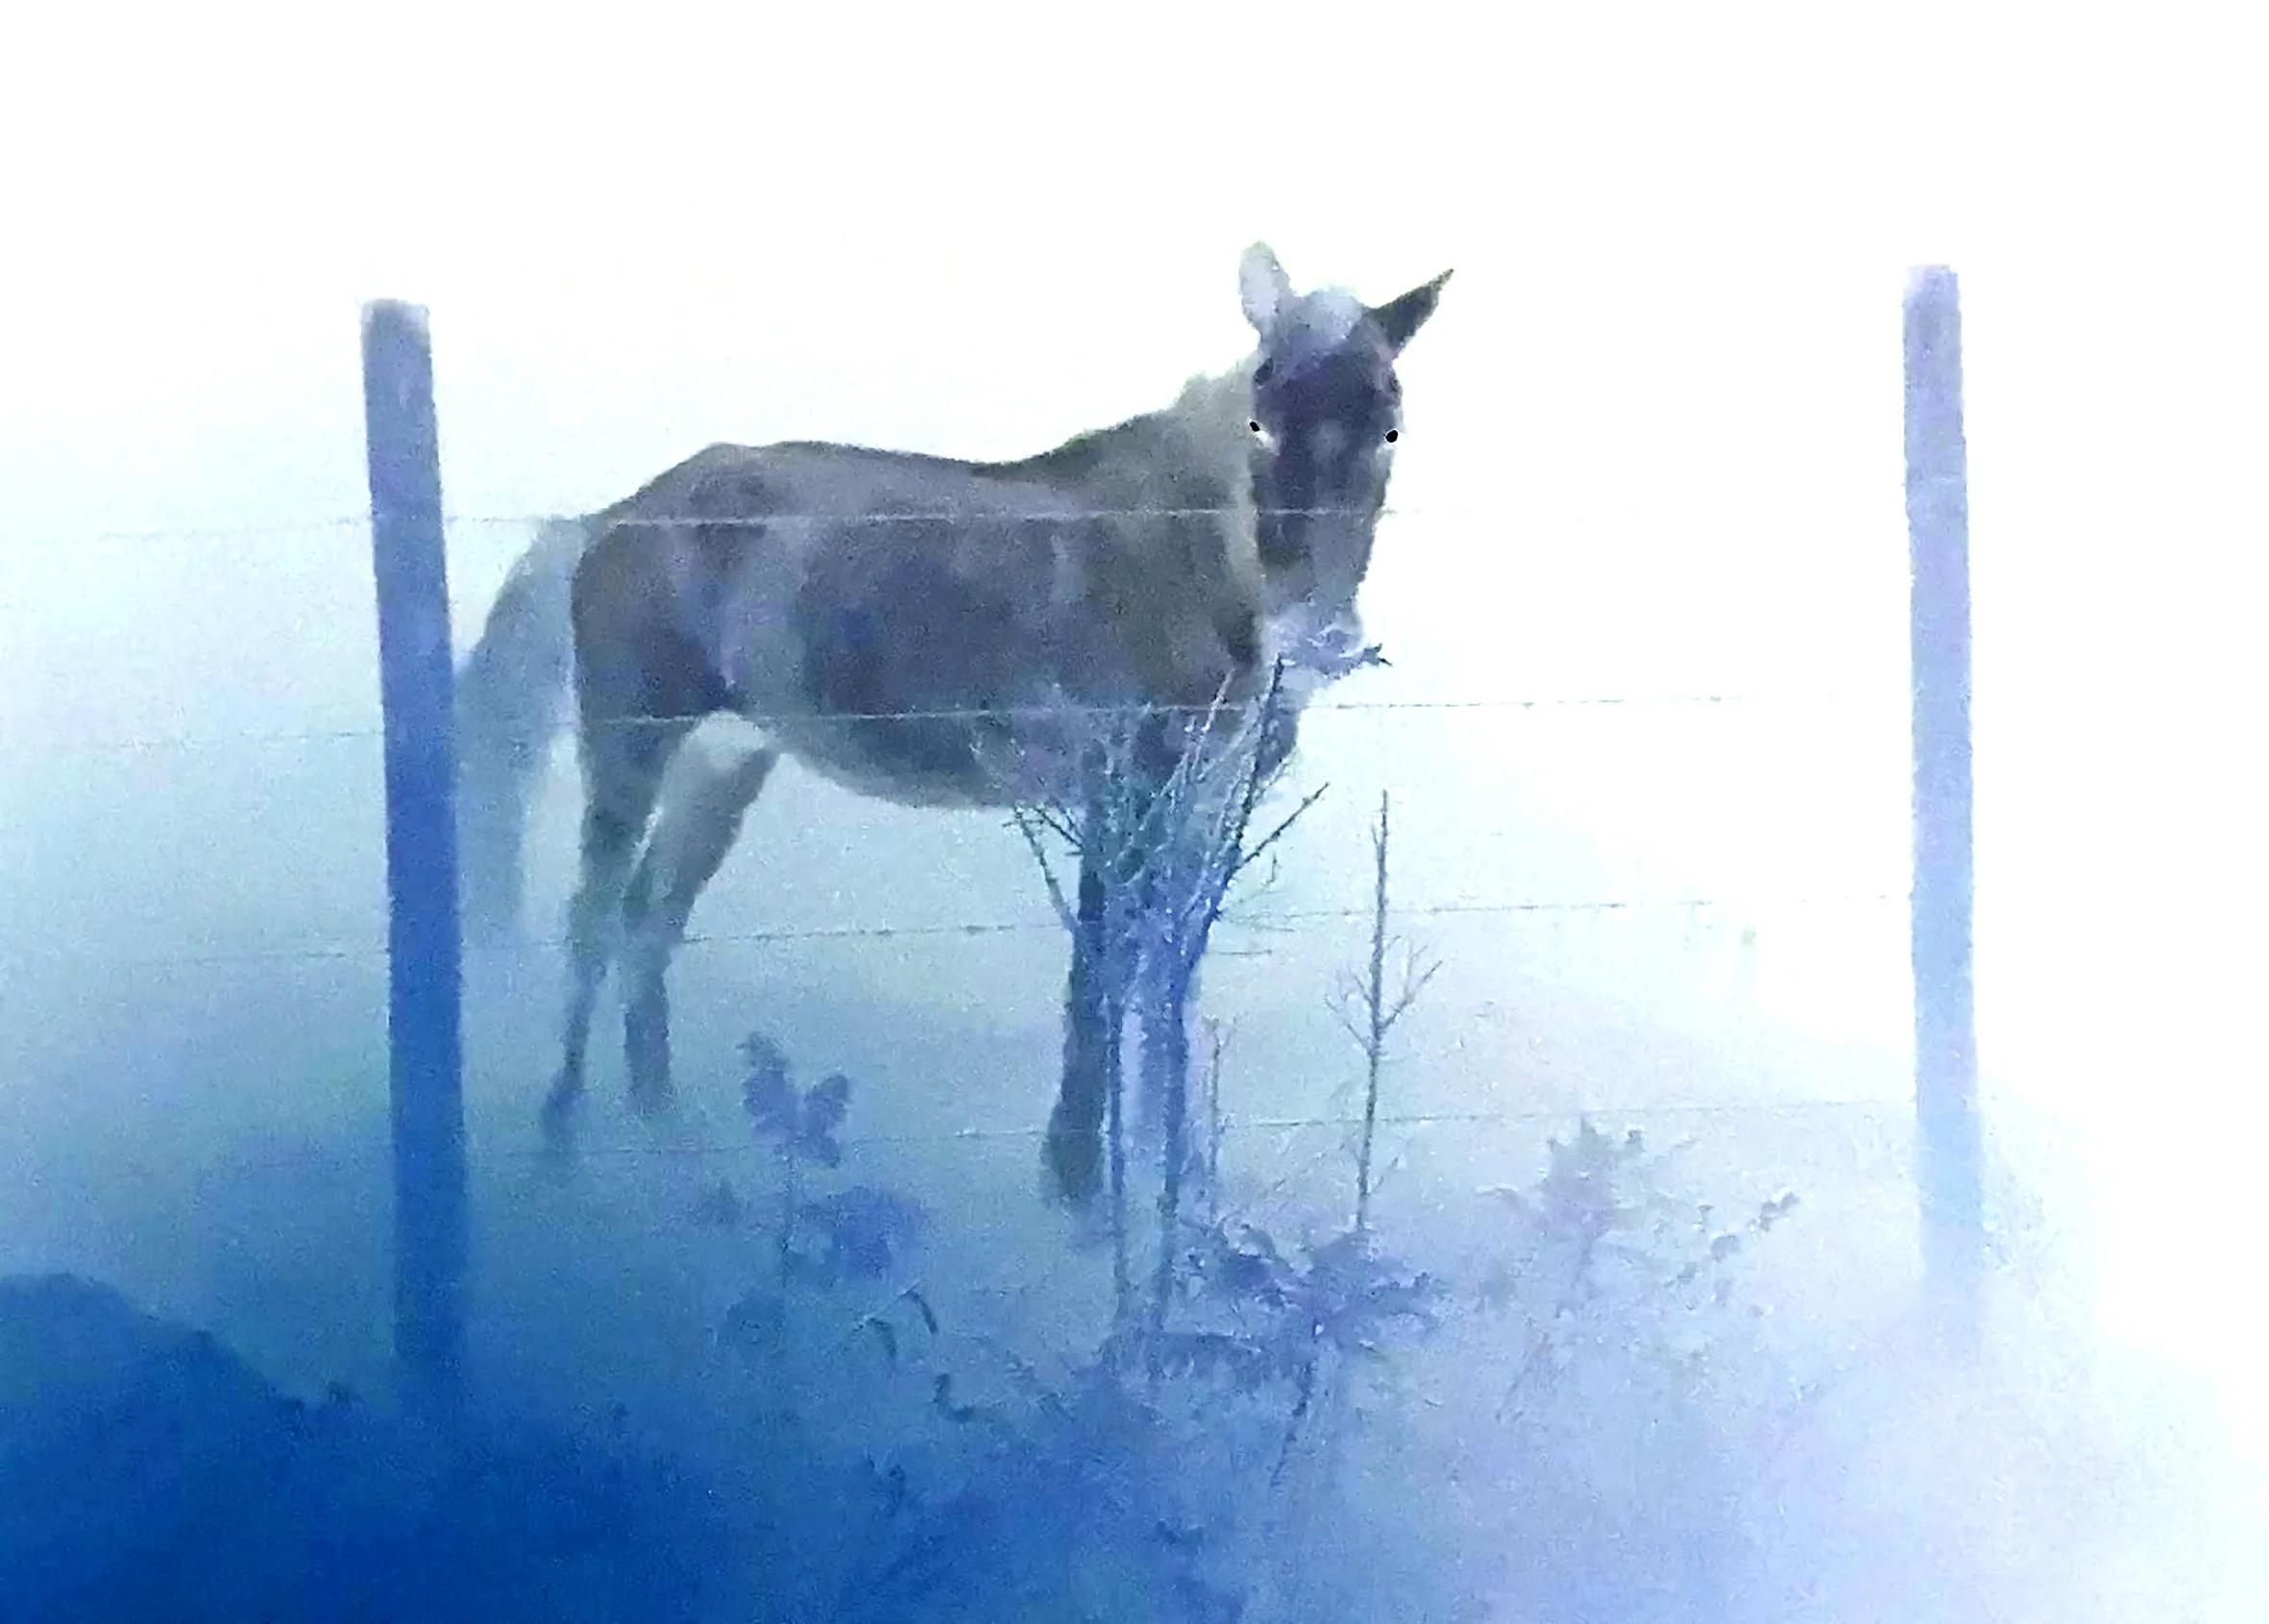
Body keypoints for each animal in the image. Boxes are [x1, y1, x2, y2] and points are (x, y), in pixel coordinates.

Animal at [451, 242, 1450, 1203]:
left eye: (1389, 426)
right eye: (1260, 416)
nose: (1320, 635)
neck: (1192, 558)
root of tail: (604, 520)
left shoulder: (1199, 806)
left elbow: (1171, 976)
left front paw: (1179, 1171)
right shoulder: (1116, 795)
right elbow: (1100, 972)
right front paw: (1077, 1182)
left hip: (725, 761)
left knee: (649, 917)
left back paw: (668, 1134)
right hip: (631, 739)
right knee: (592, 918)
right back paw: (562, 1136)